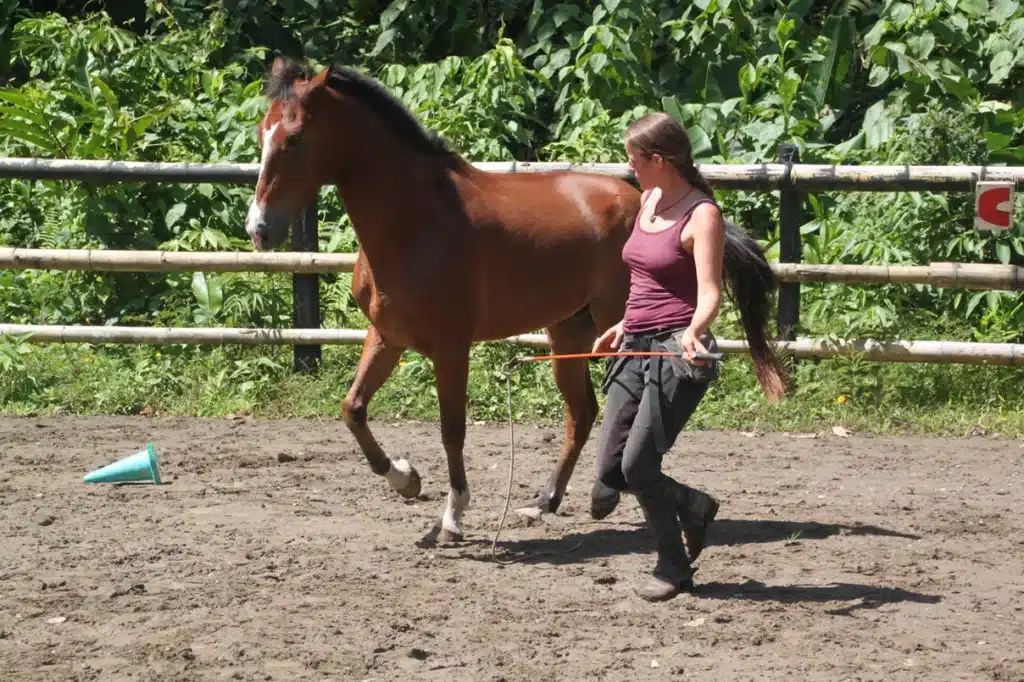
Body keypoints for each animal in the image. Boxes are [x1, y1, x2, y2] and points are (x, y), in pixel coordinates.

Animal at [243, 51, 786, 540]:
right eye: (261, 134)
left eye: (295, 137)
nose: (259, 230)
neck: (416, 221)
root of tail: (643, 200)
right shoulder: (387, 337)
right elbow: (352, 409)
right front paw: (405, 479)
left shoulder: (450, 348)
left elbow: (452, 429)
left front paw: (451, 518)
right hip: (568, 333)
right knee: (582, 413)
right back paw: (547, 501)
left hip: (620, 327)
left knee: (623, 402)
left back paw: (604, 495)